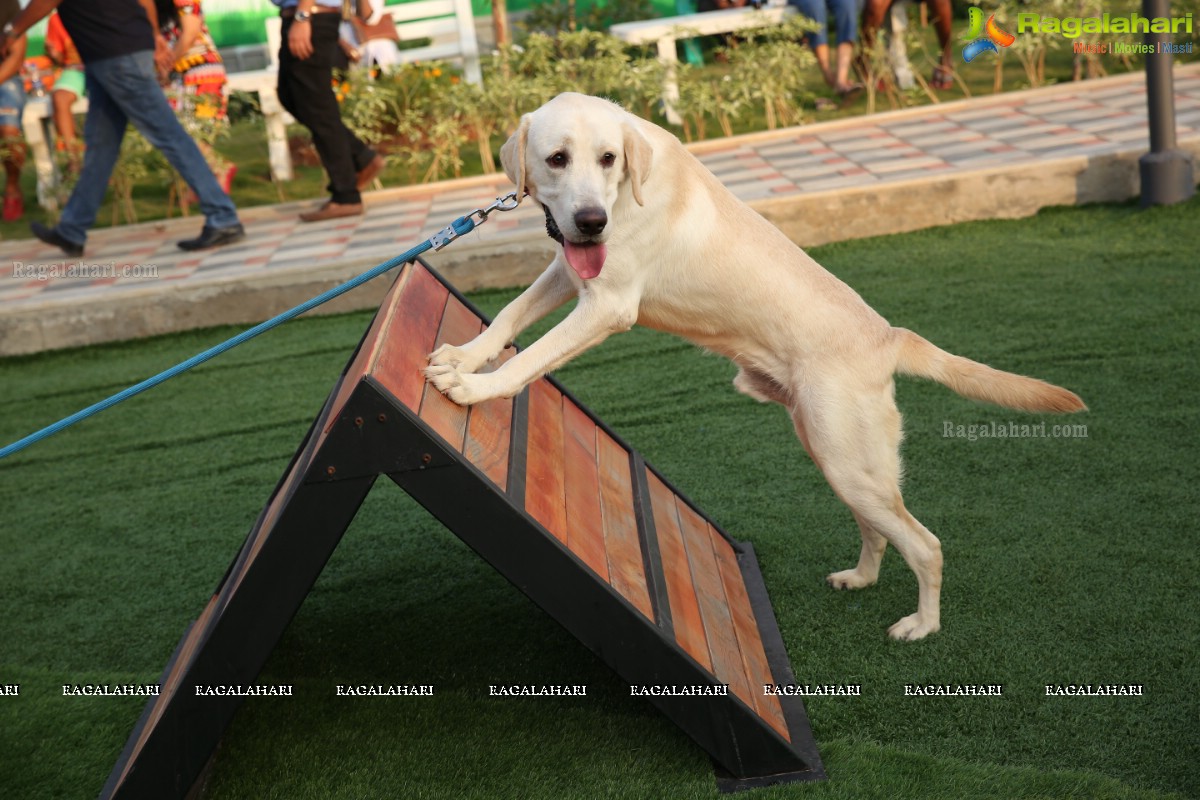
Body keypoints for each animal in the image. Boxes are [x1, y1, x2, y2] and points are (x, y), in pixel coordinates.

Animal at [424, 92, 1089, 642]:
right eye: (557, 159)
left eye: (608, 158)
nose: (592, 221)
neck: (630, 187)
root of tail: (888, 337)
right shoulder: (570, 269)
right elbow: (509, 317)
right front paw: (464, 356)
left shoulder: (607, 305)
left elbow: (532, 357)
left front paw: (475, 387)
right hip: (836, 458)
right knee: (879, 530)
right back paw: (860, 579)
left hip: (850, 464)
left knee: (926, 545)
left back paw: (921, 626)